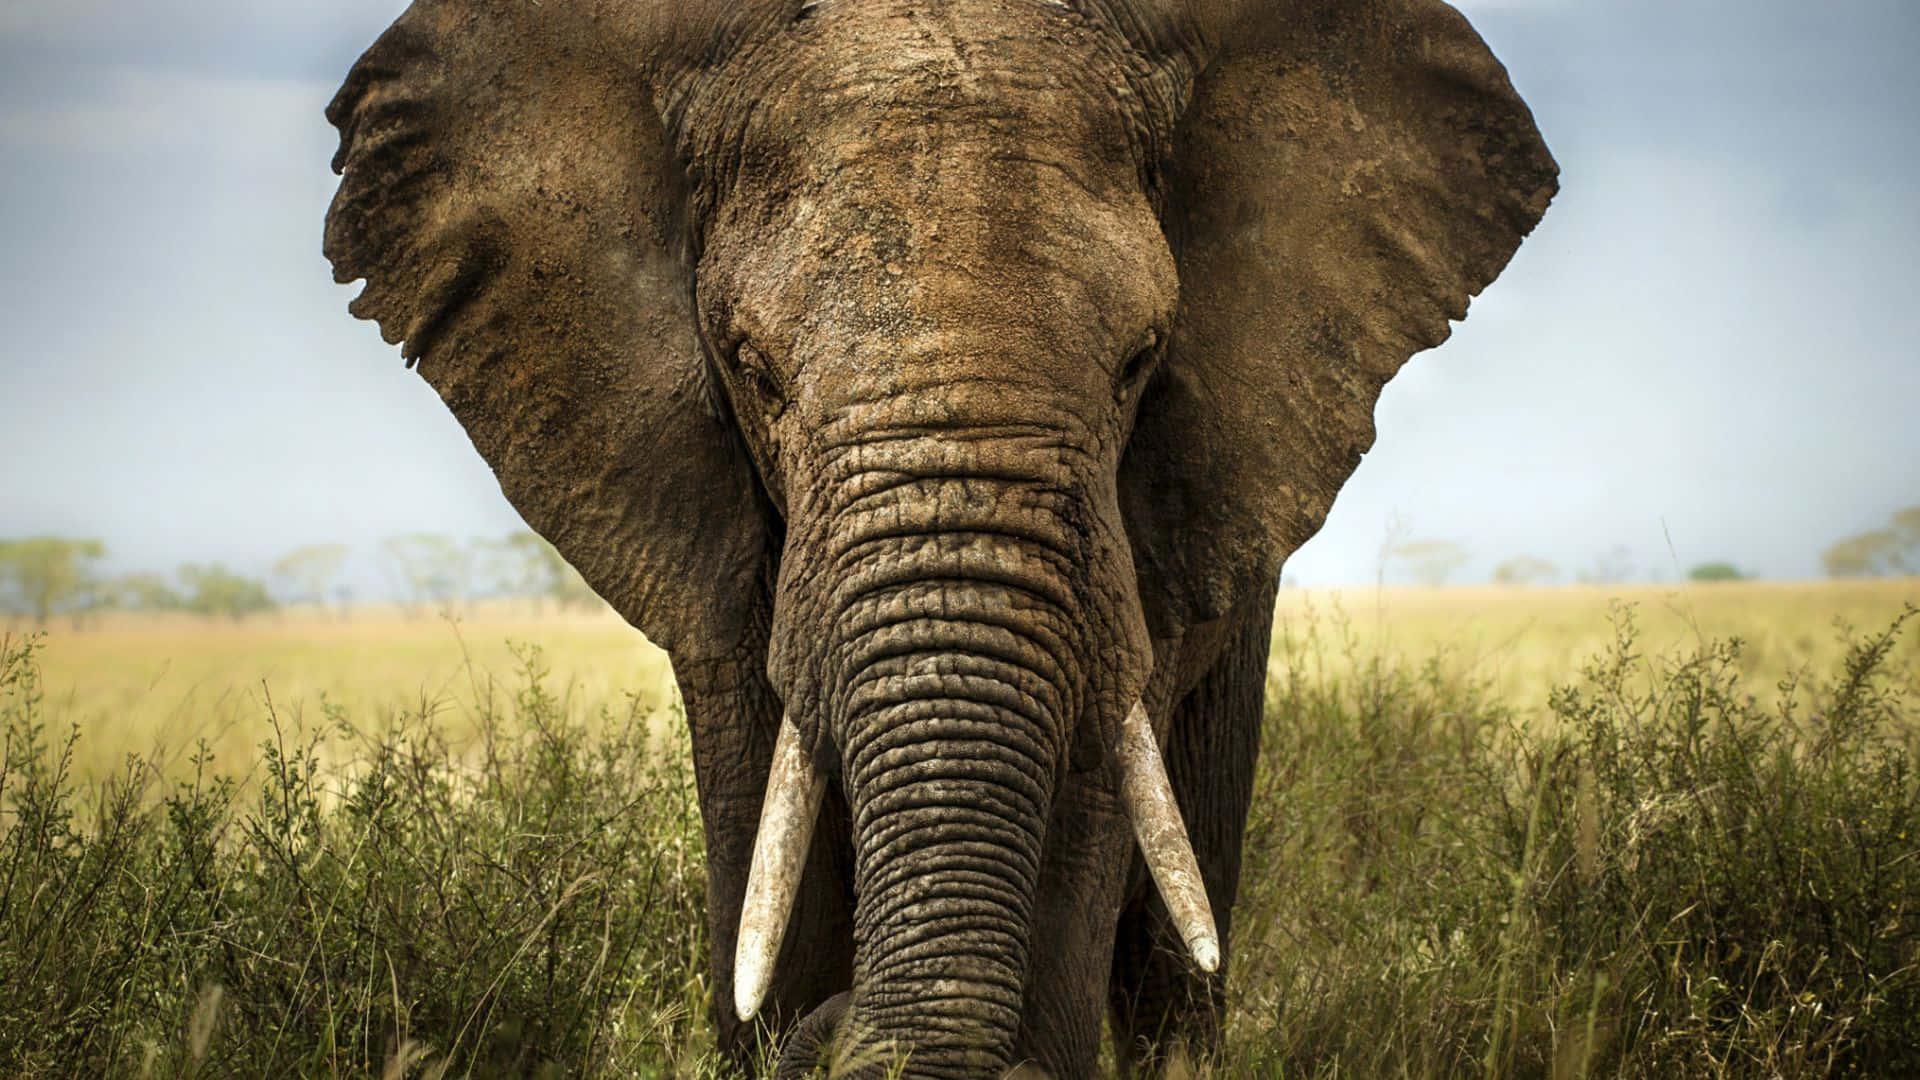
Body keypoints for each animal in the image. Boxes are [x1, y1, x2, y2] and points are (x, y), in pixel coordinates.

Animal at [323, 0, 1554, 1074]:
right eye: (753, 370)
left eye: (1141, 360)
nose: (842, 1028)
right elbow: (759, 808)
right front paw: (781, 1016)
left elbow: (1093, 793)